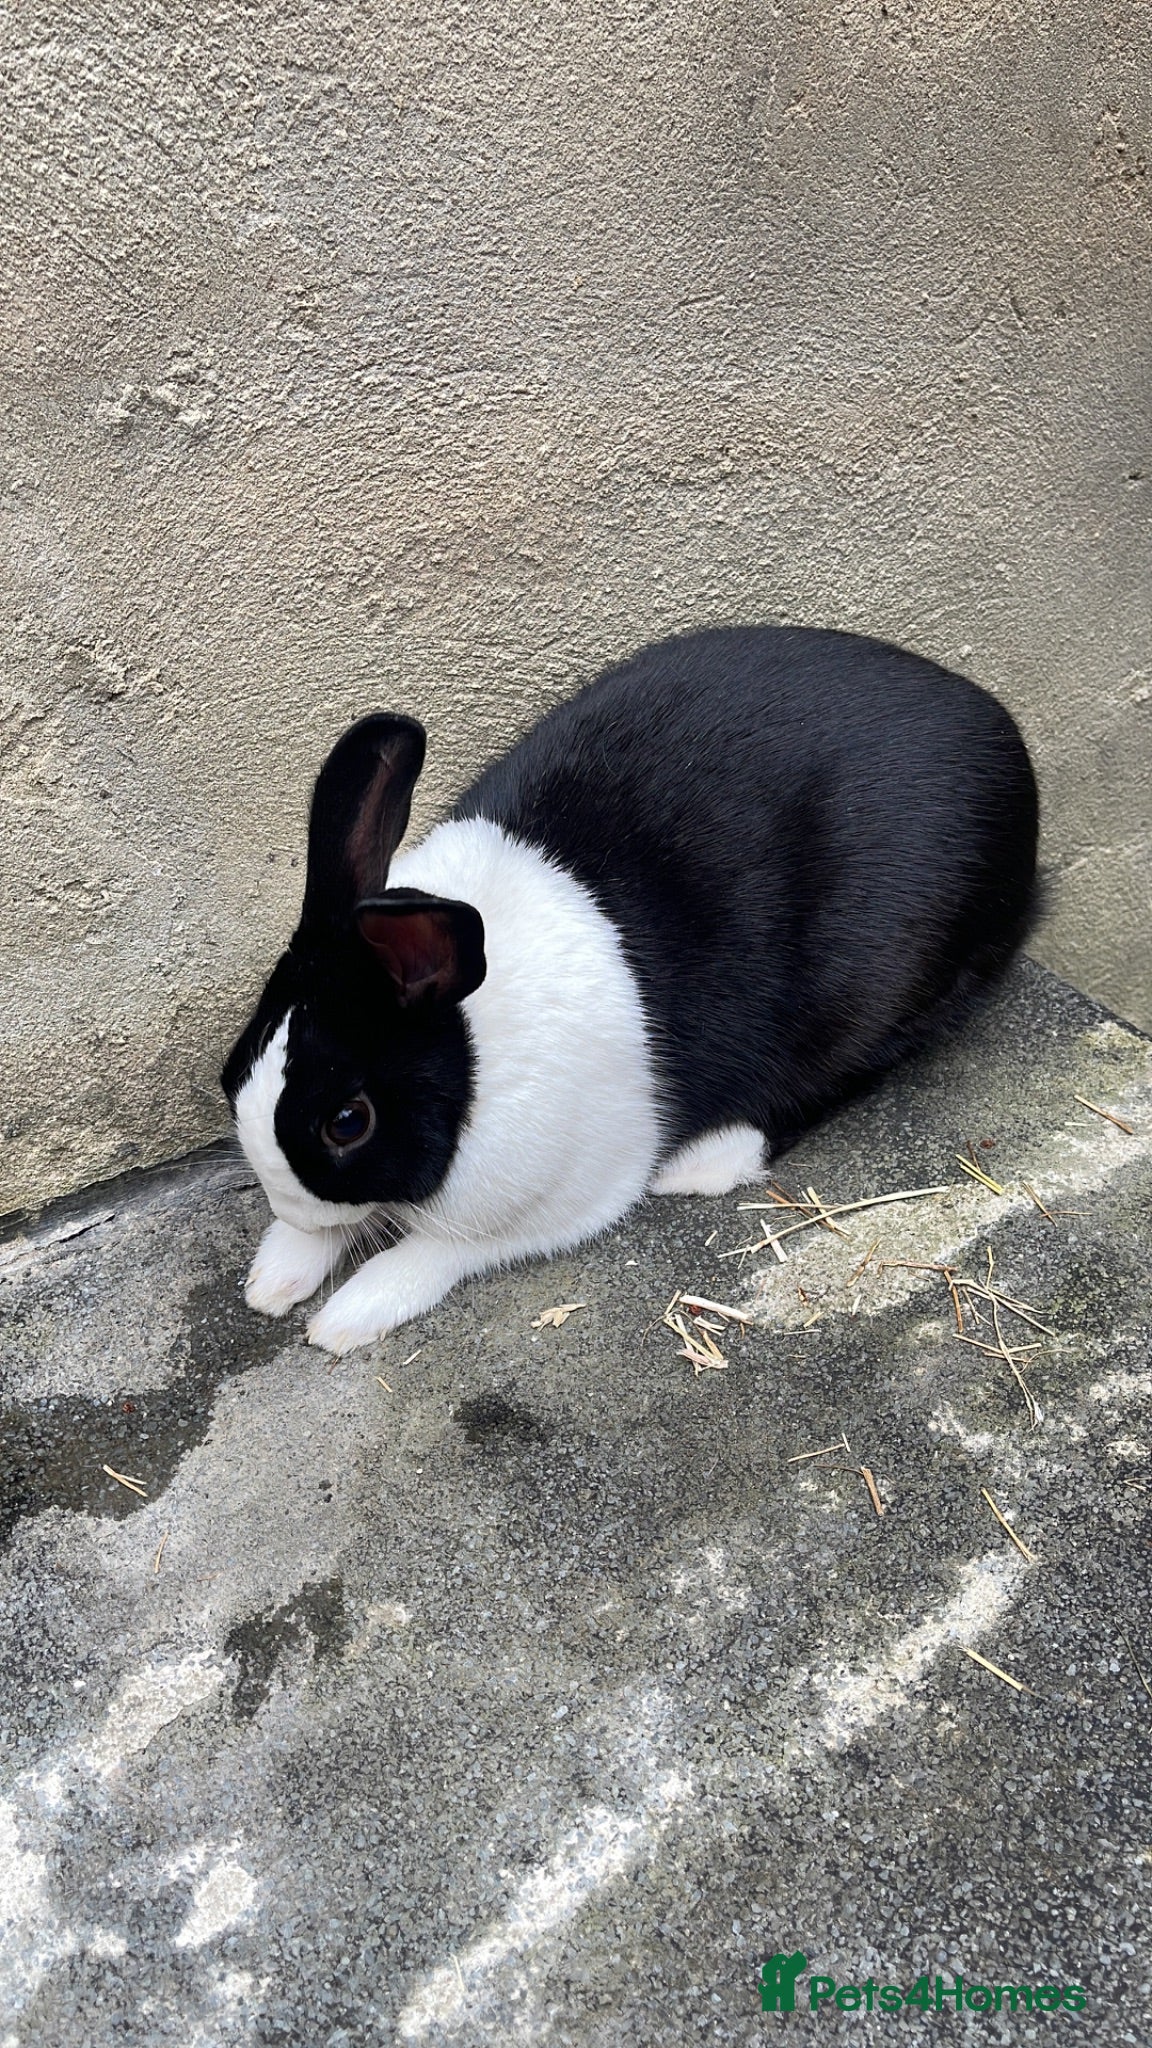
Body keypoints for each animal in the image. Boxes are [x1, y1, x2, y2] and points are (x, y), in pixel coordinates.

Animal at [221, 625, 1039, 1354]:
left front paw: (344, 1317)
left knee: (845, 1075)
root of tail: (1004, 741)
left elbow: (430, 1255)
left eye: (348, 1122)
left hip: (884, 991)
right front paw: (276, 1277)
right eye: (237, 1060)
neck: (475, 1058)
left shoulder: (544, 1207)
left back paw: (702, 1163)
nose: (288, 1204)